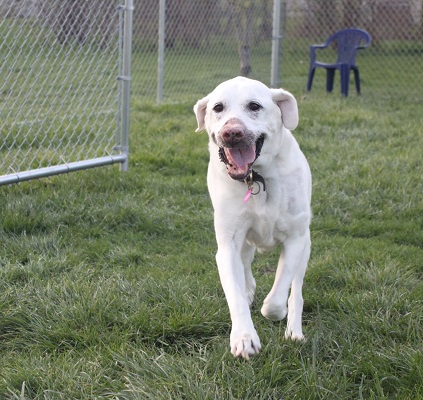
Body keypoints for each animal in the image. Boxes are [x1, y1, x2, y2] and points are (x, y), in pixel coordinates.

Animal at [195, 76, 312, 358]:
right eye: (218, 107)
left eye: (254, 106)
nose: (232, 132)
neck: (255, 178)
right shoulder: (228, 245)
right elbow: (234, 293)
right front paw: (244, 337)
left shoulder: (296, 239)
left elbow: (279, 294)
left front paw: (274, 312)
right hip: (246, 242)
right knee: (246, 264)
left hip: (306, 246)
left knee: (297, 290)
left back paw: (294, 330)